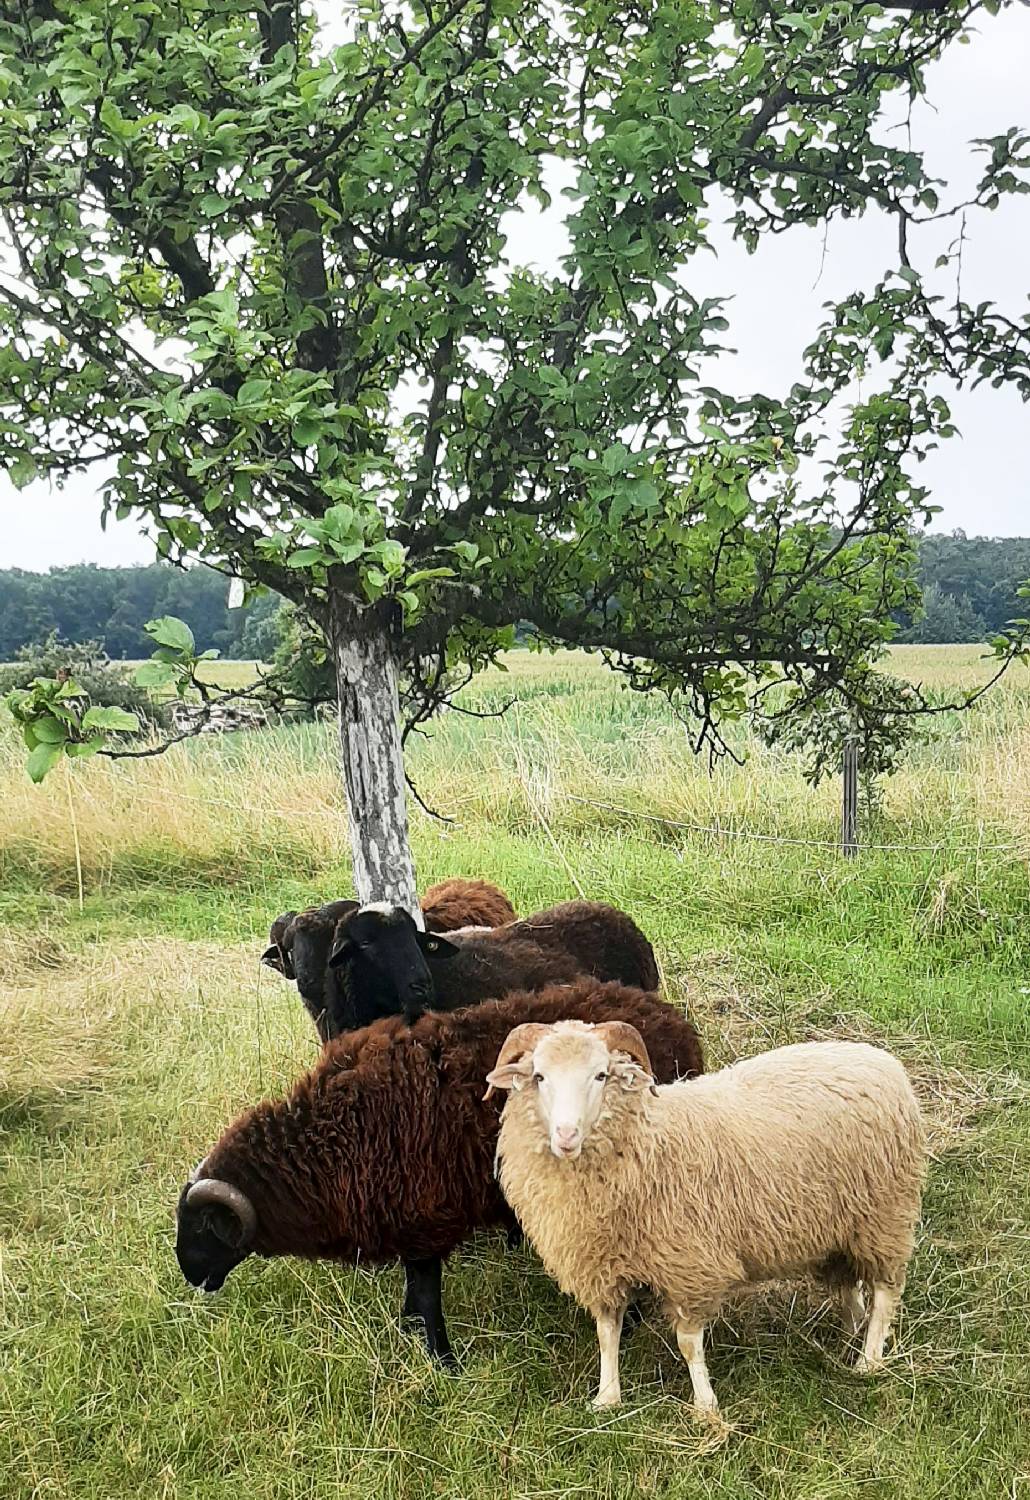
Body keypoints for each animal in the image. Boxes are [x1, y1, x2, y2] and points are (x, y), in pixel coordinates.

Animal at [176, 978, 704, 1368]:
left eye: (205, 1226)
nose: (191, 1275)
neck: (330, 1140)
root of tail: (668, 1015)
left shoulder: (424, 1221)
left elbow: (428, 1296)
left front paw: (444, 1362)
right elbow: (416, 1292)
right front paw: (408, 1331)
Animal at [488, 1014, 929, 1410]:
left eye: (600, 1075)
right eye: (540, 1076)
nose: (566, 1135)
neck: (646, 1139)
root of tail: (879, 1060)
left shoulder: (690, 1266)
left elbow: (687, 1344)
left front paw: (705, 1406)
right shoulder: (600, 1266)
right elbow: (606, 1333)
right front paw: (607, 1398)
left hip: (885, 1215)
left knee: (886, 1290)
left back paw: (868, 1361)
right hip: (842, 1226)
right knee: (849, 1282)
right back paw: (848, 1334)